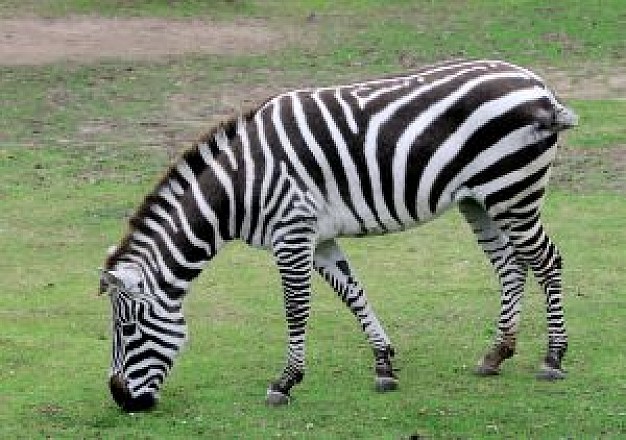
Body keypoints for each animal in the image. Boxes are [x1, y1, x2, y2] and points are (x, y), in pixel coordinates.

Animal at [98, 57, 576, 410]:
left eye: (128, 329)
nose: (120, 400)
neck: (241, 185)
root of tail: (536, 83)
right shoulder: (318, 237)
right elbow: (352, 293)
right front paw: (384, 365)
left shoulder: (291, 232)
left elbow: (296, 310)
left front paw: (285, 381)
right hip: (481, 199)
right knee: (510, 266)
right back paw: (496, 353)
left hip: (513, 190)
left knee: (547, 261)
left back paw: (553, 357)